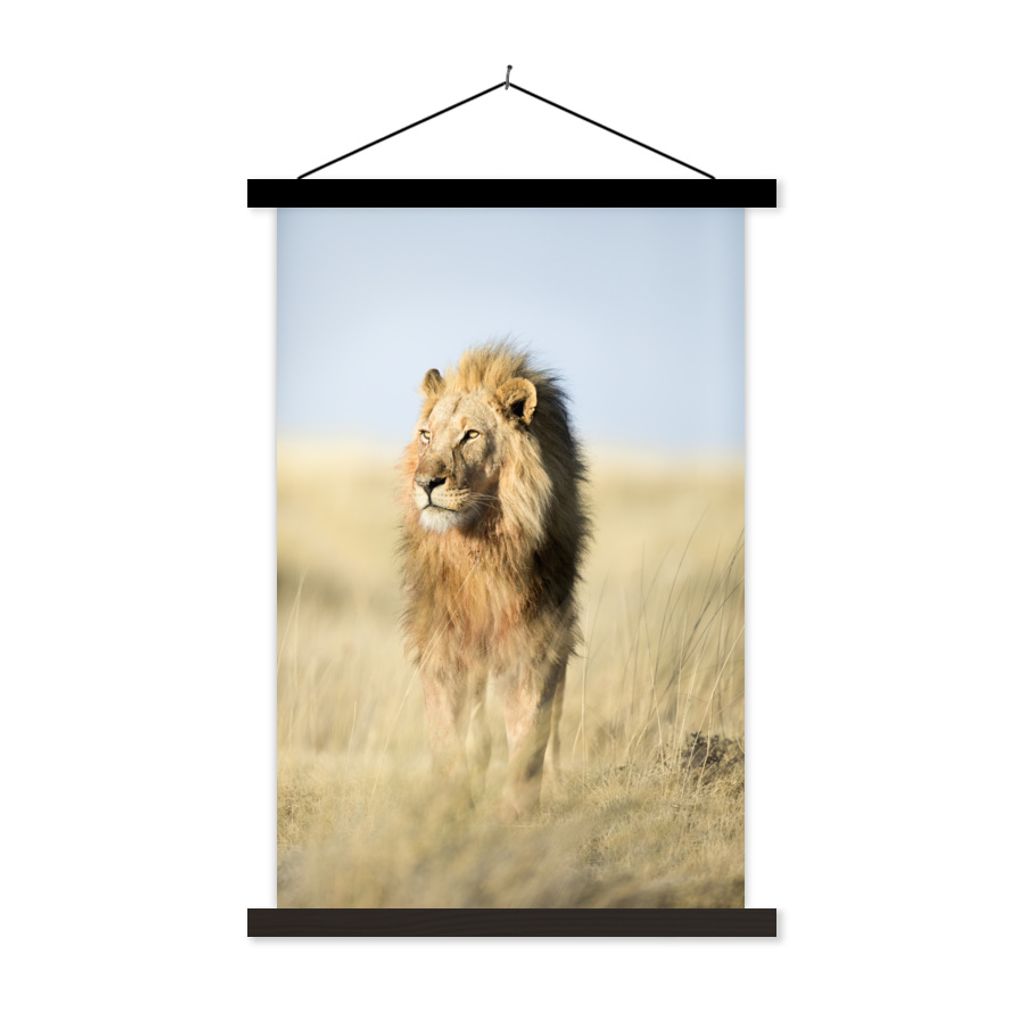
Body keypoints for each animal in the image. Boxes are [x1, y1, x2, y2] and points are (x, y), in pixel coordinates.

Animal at [399, 343, 589, 818]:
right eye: (426, 435)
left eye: (470, 435)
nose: (426, 482)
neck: (480, 544)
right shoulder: (442, 642)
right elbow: (448, 733)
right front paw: (451, 805)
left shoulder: (538, 638)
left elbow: (530, 731)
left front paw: (516, 811)